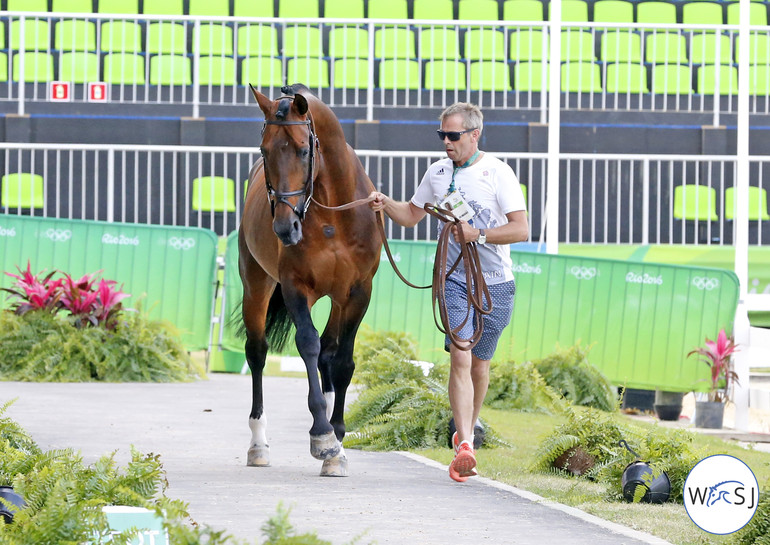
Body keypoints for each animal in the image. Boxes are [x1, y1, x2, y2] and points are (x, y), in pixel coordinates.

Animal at [238, 85, 380, 476]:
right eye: (264, 150)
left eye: (304, 150)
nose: (285, 228)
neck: (335, 215)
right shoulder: (295, 286)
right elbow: (308, 344)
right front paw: (322, 435)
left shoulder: (358, 292)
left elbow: (342, 360)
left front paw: (337, 439)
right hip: (256, 285)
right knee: (257, 353)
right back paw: (258, 445)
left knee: (329, 353)